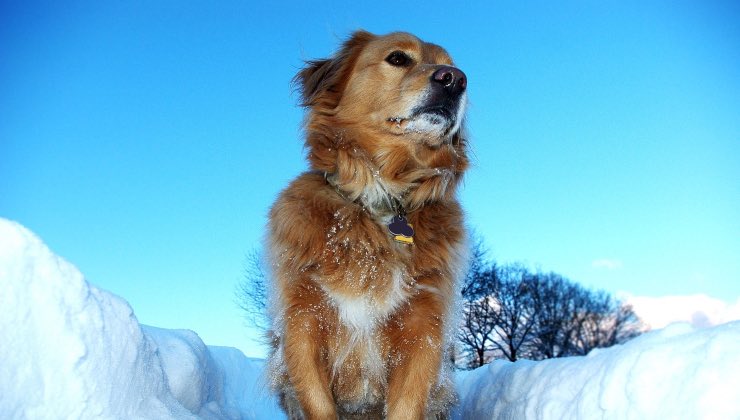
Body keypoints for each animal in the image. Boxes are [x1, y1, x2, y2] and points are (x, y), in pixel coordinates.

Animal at [268, 31, 472, 418]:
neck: (382, 197)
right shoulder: (303, 322)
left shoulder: (423, 328)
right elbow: (319, 404)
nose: (455, 79)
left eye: (452, 66)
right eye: (398, 58)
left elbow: (406, 406)